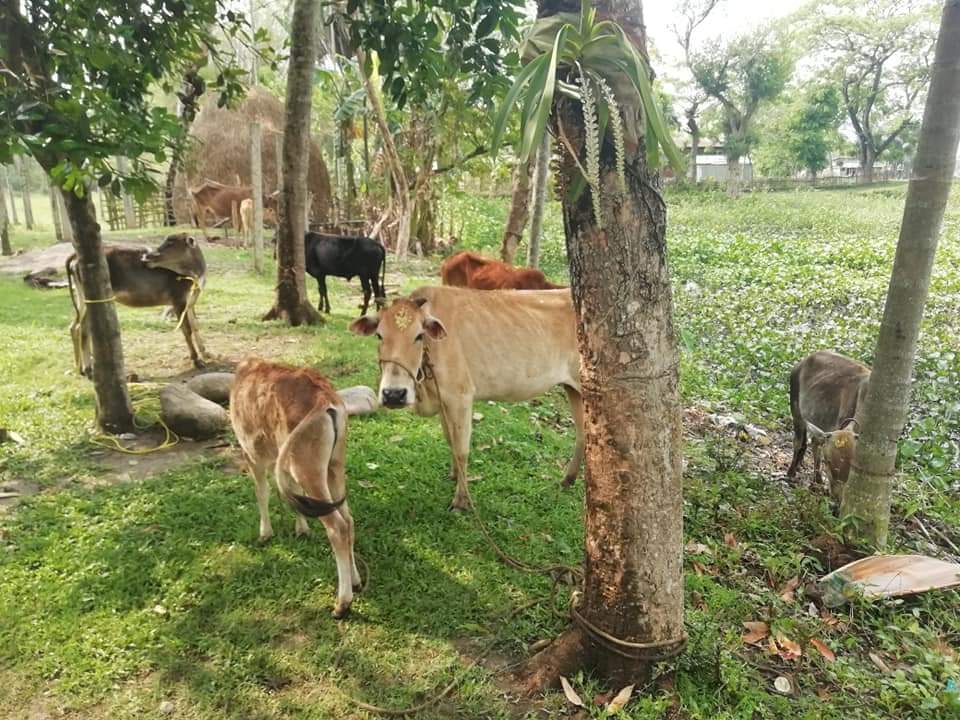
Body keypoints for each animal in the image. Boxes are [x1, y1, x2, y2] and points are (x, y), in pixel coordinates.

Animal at [66, 232, 208, 376]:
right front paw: (197, 361)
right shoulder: (177, 298)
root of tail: (75, 258)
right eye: (166, 241)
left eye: (170, 243)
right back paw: (88, 368)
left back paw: (79, 367)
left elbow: (195, 325)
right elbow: (187, 330)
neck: (195, 276)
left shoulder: (190, 301)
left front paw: (206, 352)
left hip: (81, 297)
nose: (146, 257)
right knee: (83, 328)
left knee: (74, 326)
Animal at [229, 360, 360, 620]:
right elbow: (291, 492)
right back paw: (356, 581)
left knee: (337, 527)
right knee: (348, 519)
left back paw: (342, 604)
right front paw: (302, 529)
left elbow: (262, 492)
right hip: (334, 465)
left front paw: (265, 533)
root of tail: (325, 399)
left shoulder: (251, 453)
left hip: (308, 468)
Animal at [348, 284, 580, 510]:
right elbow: (450, 440)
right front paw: (453, 475)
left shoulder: (460, 397)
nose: (394, 394)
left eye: (419, 335)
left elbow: (461, 449)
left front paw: (462, 500)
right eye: (379, 336)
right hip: (573, 390)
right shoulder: (444, 401)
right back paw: (568, 480)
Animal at [788, 352, 872, 504]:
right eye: (828, 461)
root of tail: (804, 361)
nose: (837, 499)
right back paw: (791, 473)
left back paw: (816, 481)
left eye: (852, 465)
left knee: (814, 442)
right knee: (799, 442)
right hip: (796, 410)